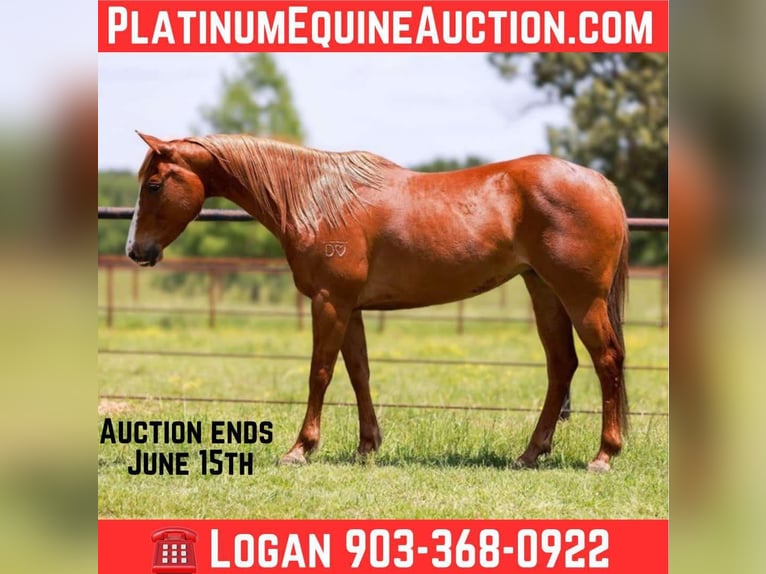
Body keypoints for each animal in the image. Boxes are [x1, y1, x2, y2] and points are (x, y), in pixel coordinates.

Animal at [126, 132, 629, 473]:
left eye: (154, 185)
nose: (135, 251)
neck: (316, 196)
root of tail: (603, 183)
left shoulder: (329, 302)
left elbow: (320, 373)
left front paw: (300, 449)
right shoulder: (349, 308)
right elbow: (358, 373)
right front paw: (367, 447)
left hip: (581, 298)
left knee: (606, 359)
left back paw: (604, 454)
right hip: (544, 291)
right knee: (561, 365)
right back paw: (529, 453)